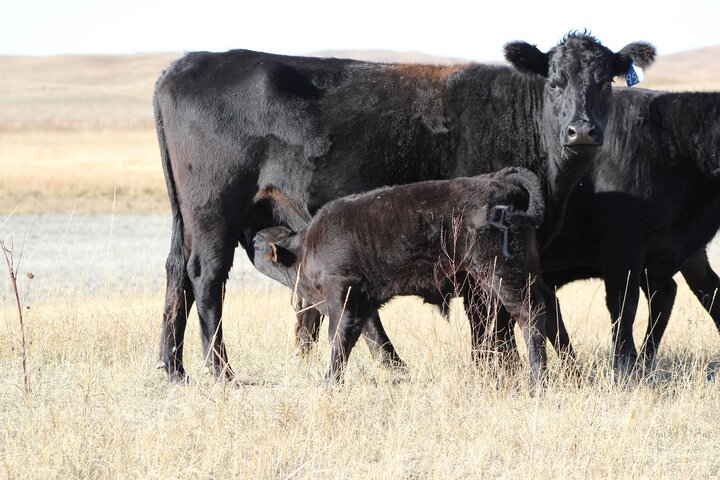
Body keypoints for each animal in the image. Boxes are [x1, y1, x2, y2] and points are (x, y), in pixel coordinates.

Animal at [256, 167, 548, 388]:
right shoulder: (364, 305)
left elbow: (339, 338)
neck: (305, 246)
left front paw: (330, 383)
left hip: (501, 276)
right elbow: (370, 339)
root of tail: (497, 181)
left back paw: (537, 383)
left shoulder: (341, 294)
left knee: (529, 318)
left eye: (259, 242)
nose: (254, 236)